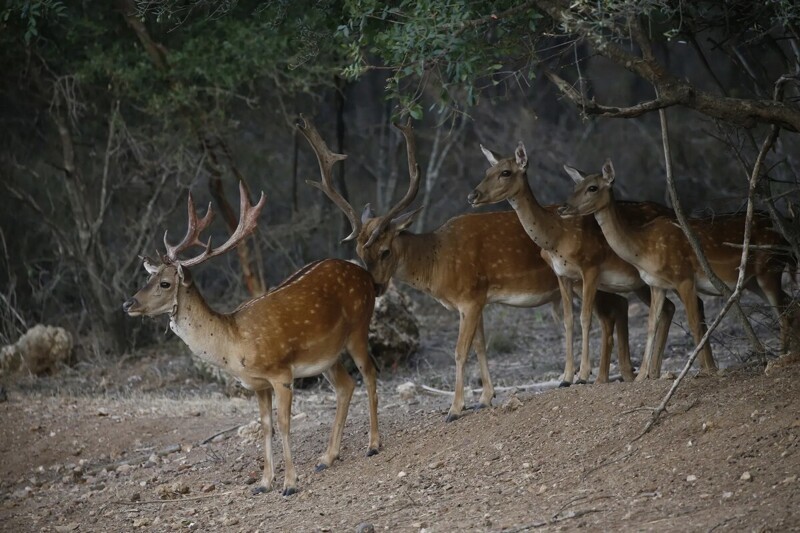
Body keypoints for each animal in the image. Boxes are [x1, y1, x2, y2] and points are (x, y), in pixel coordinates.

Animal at [123, 182, 380, 494]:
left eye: (164, 283)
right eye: (146, 279)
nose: (128, 304)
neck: (233, 345)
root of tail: (366, 275)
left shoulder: (281, 374)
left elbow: (284, 424)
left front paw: (290, 483)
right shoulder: (258, 385)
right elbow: (265, 425)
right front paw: (264, 482)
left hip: (359, 327)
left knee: (369, 374)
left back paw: (373, 445)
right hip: (328, 356)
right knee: (346, 386)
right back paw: (326, 458)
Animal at [298, 116, 632, 420]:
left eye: (385, 250)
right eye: (358, 251)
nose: (377, 287)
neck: (438, 264)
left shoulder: (470, 297)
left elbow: (459, 351)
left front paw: (455, 408)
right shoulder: (476, 299)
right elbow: (480, 346)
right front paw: (485, 398)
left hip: (588, 275)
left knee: (605, 314)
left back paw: (598, 375)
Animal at [468, 141, 680, 382]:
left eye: (505, 172)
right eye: (487, 170)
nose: (472, 195)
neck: (557, 237)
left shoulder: (590, 267)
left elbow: (584, 318)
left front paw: (583, 374)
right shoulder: (563, 275)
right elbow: (568, 320)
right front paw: (566, 377)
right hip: (643, 283)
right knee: (668, 307)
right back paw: (653, 371)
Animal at [560, 160, 796, 376]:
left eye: (593, 187)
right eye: (575, 186)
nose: (563, 208)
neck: (643, 250)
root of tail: (786, 235)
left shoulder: (684, 277)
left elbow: (694, 323)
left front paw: (707, 370)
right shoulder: (656, 284)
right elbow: (651, 324)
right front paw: (642, 376)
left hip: (769, 269)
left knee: (783, 312)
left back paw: (781, 355)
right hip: (754, 280)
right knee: (788, 302)